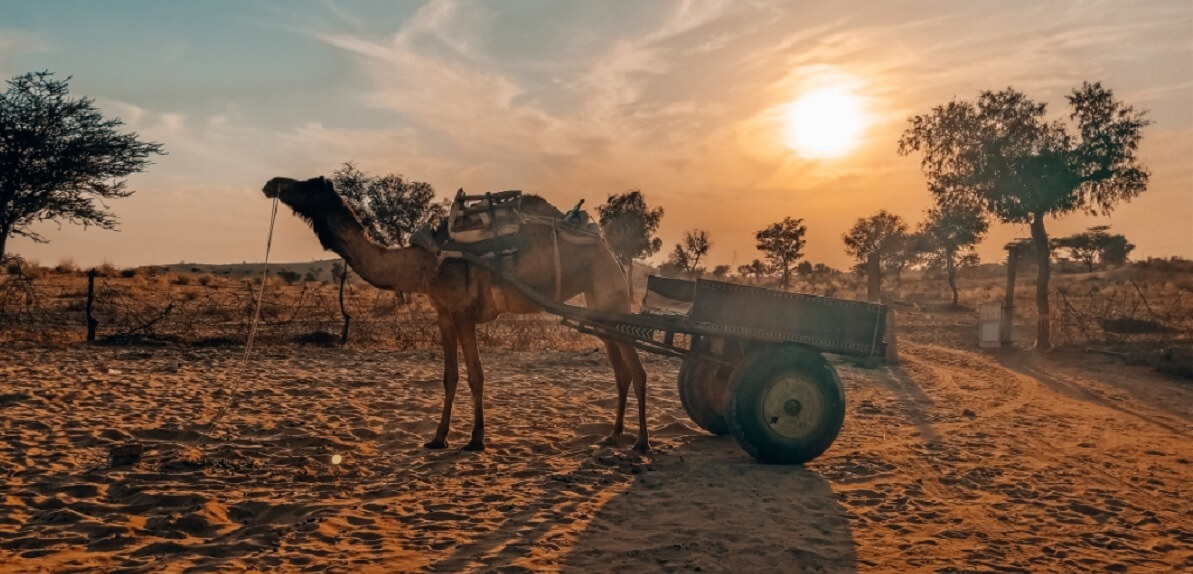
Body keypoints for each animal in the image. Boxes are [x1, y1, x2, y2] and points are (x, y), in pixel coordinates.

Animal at [263, 174, 653, 451]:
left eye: (308, 185)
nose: (272, 184)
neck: (425, 263)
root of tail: (611, 252)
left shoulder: (464, 314)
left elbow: (476, 376)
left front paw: (476, 440)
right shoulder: (444, 315)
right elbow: (449, 376)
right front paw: (438, 438)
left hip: (610, 295)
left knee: (637, 370)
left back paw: (642, 443)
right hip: (597, 305)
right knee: (621, 370)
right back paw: (614, 435)